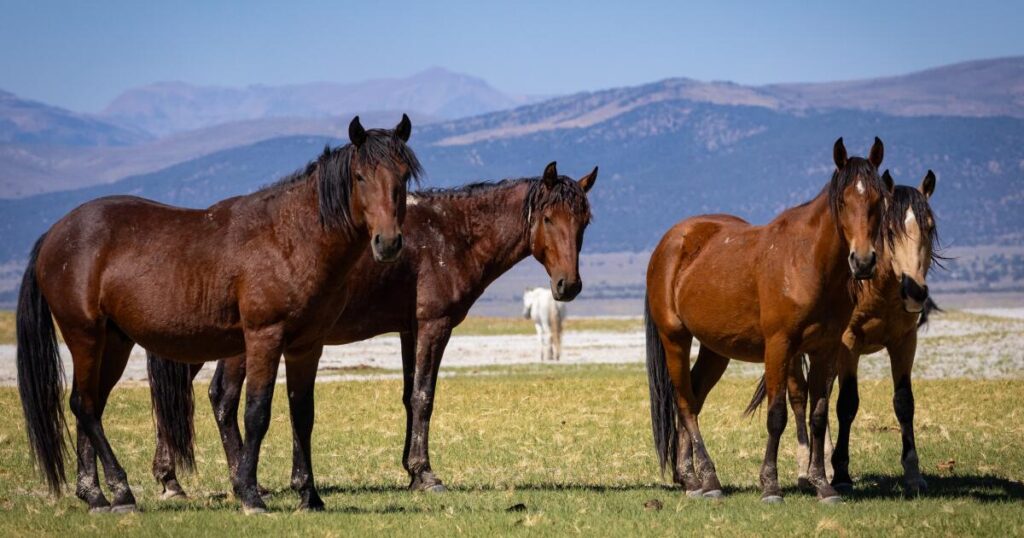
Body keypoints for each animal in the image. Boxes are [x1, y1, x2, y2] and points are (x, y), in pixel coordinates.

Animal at [16, 115, 422, 514]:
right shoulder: (263, 338)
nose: (388, 242)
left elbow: (302, 414)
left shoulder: (307, 346)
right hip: (84, 336)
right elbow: (256, 413)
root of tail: (55, 234)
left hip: (114, 343)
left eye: (403, 175)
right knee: (83, 405)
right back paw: (119, 492)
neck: (288, 238)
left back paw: (96, 495)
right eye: (360, 176)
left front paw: (309, 497)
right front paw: (250, 494)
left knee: (91, 406)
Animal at [146, 162, 597, 497]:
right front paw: (425, 475)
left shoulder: (409, 331)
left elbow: (408, 397)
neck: (451, 234)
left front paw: (411, 472)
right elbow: (424, 397)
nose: (568, 285)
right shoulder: (433, 326)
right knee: (220, 399)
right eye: (548, 217)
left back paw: (171, 480)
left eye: (585, 221)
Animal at [645, 137, 892, 503]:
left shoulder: (825, 348)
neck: (807, 261)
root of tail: (671, 241)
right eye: (843, 201)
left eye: (878, 200)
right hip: (675, 338)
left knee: (695, 399)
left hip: (715, 350)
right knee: (686, 403)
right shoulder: (779, 345)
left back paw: (690, 478)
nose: (863, 261)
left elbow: (818, 415)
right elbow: (777, 415)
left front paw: (823, 485)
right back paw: (708, 479)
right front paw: (771, 485)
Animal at [744, 170, 940, 494]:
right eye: (889, 229)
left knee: (819, 394)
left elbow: (904, 402)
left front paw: (914, 474)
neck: (877, 288)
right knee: (800, 397)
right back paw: (805, 469)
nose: (914, 291)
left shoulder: (904, 342)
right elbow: (847, 403)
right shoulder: (849, 344)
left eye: (930, 226)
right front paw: (842, 473)